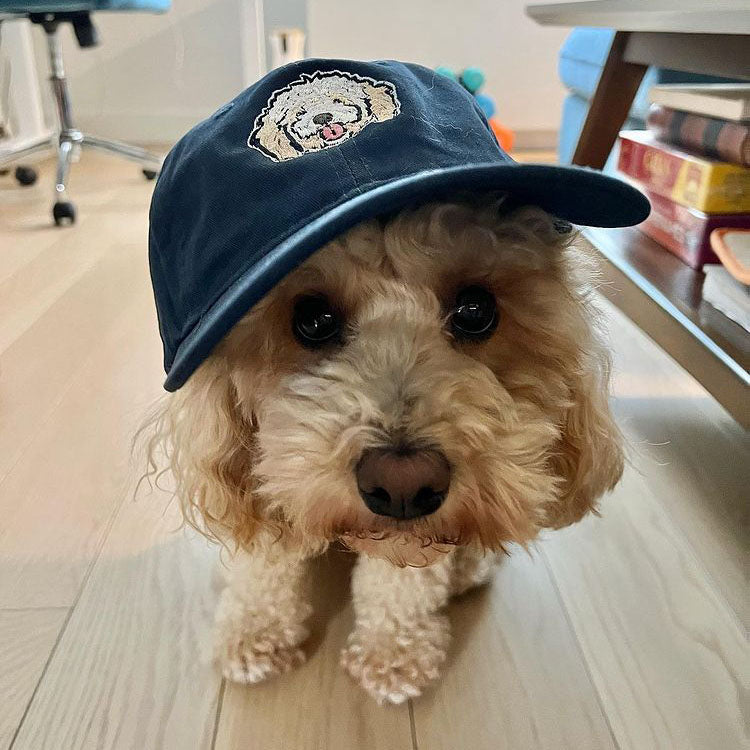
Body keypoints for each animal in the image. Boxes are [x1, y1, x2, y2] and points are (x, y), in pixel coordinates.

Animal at [144, 198, 624, 704]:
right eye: (312, 319)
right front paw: (251, 632)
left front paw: (392, 654)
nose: (403, 485)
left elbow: (402, 581)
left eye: (476, 310)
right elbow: (265, 564)